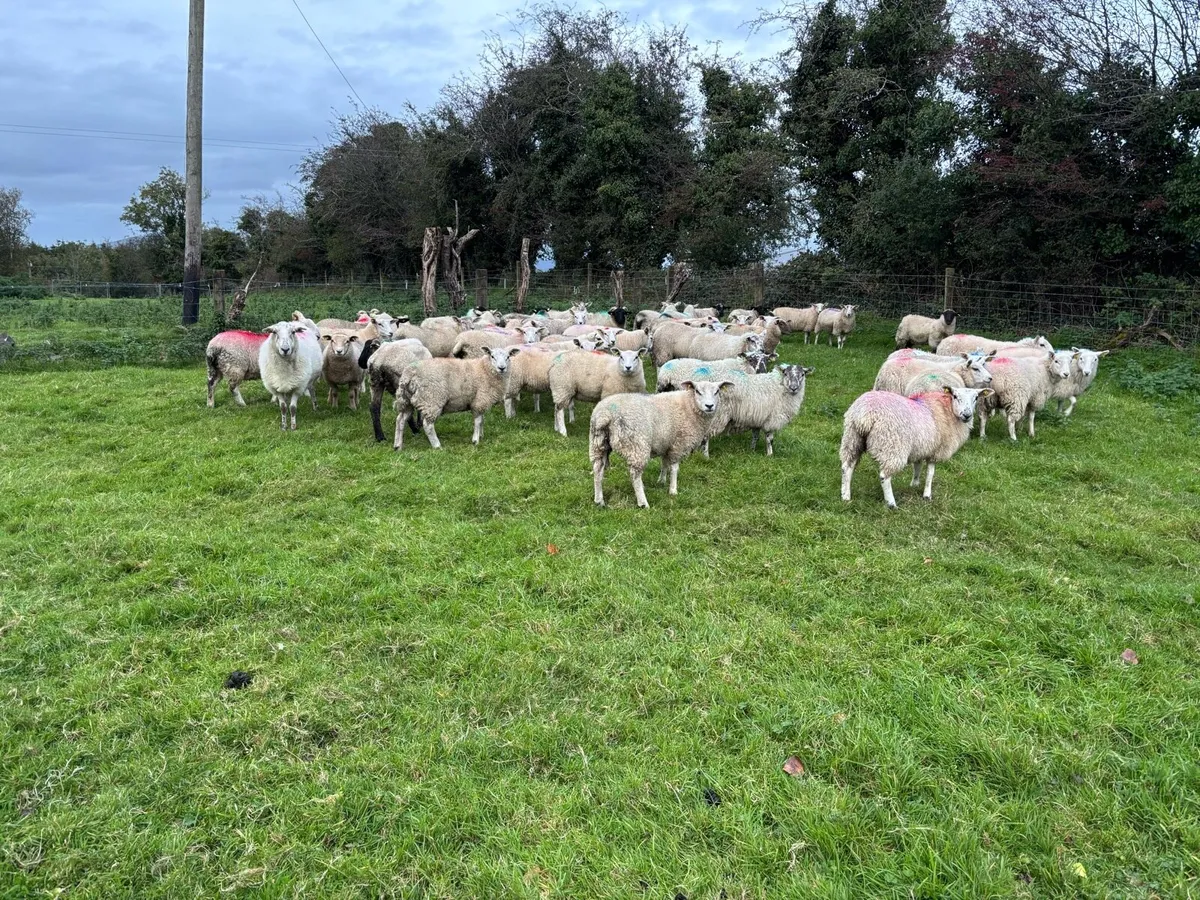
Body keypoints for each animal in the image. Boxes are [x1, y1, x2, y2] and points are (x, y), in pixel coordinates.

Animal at [393, 345, 521, 450]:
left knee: (400, 420)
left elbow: (482, 420)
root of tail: (409, 373)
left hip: (407, 400)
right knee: (427, 425)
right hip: (431, 399)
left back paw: (397, 446)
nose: (502, 368)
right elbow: (478, 421)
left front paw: (481, 435)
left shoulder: (481, 401)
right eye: (492, 356)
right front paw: (475, 440)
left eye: (508, 357)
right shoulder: (480, 400)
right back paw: (437, 446)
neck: (485, 370)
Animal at [590, 380, 734, 508]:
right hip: (636, 445)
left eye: (717, 391)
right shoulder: (679, 444)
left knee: (598, 470)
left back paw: (599, 501)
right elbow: (674, 468)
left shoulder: (666, 444)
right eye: (697, 391)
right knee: (635, 475)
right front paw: (673, 490)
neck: (689, 405)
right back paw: (643, 503)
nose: (709, 406)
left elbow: (664, 463)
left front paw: (661, 481)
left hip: (598, 444)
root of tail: (605, 414)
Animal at [840, 385, 994, 508]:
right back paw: (891, 504)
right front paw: (927, 495)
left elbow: (917, 466)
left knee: (847, 467)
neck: (948, 409)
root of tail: (865, 414)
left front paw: (914, 484)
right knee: (884, 476)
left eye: (976, 398)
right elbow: (930, 474)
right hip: (892, 446)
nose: (967, 415)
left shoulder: (921, 447)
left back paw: (846, 496)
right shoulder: (936, 451)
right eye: (955, 396)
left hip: (852, 439)